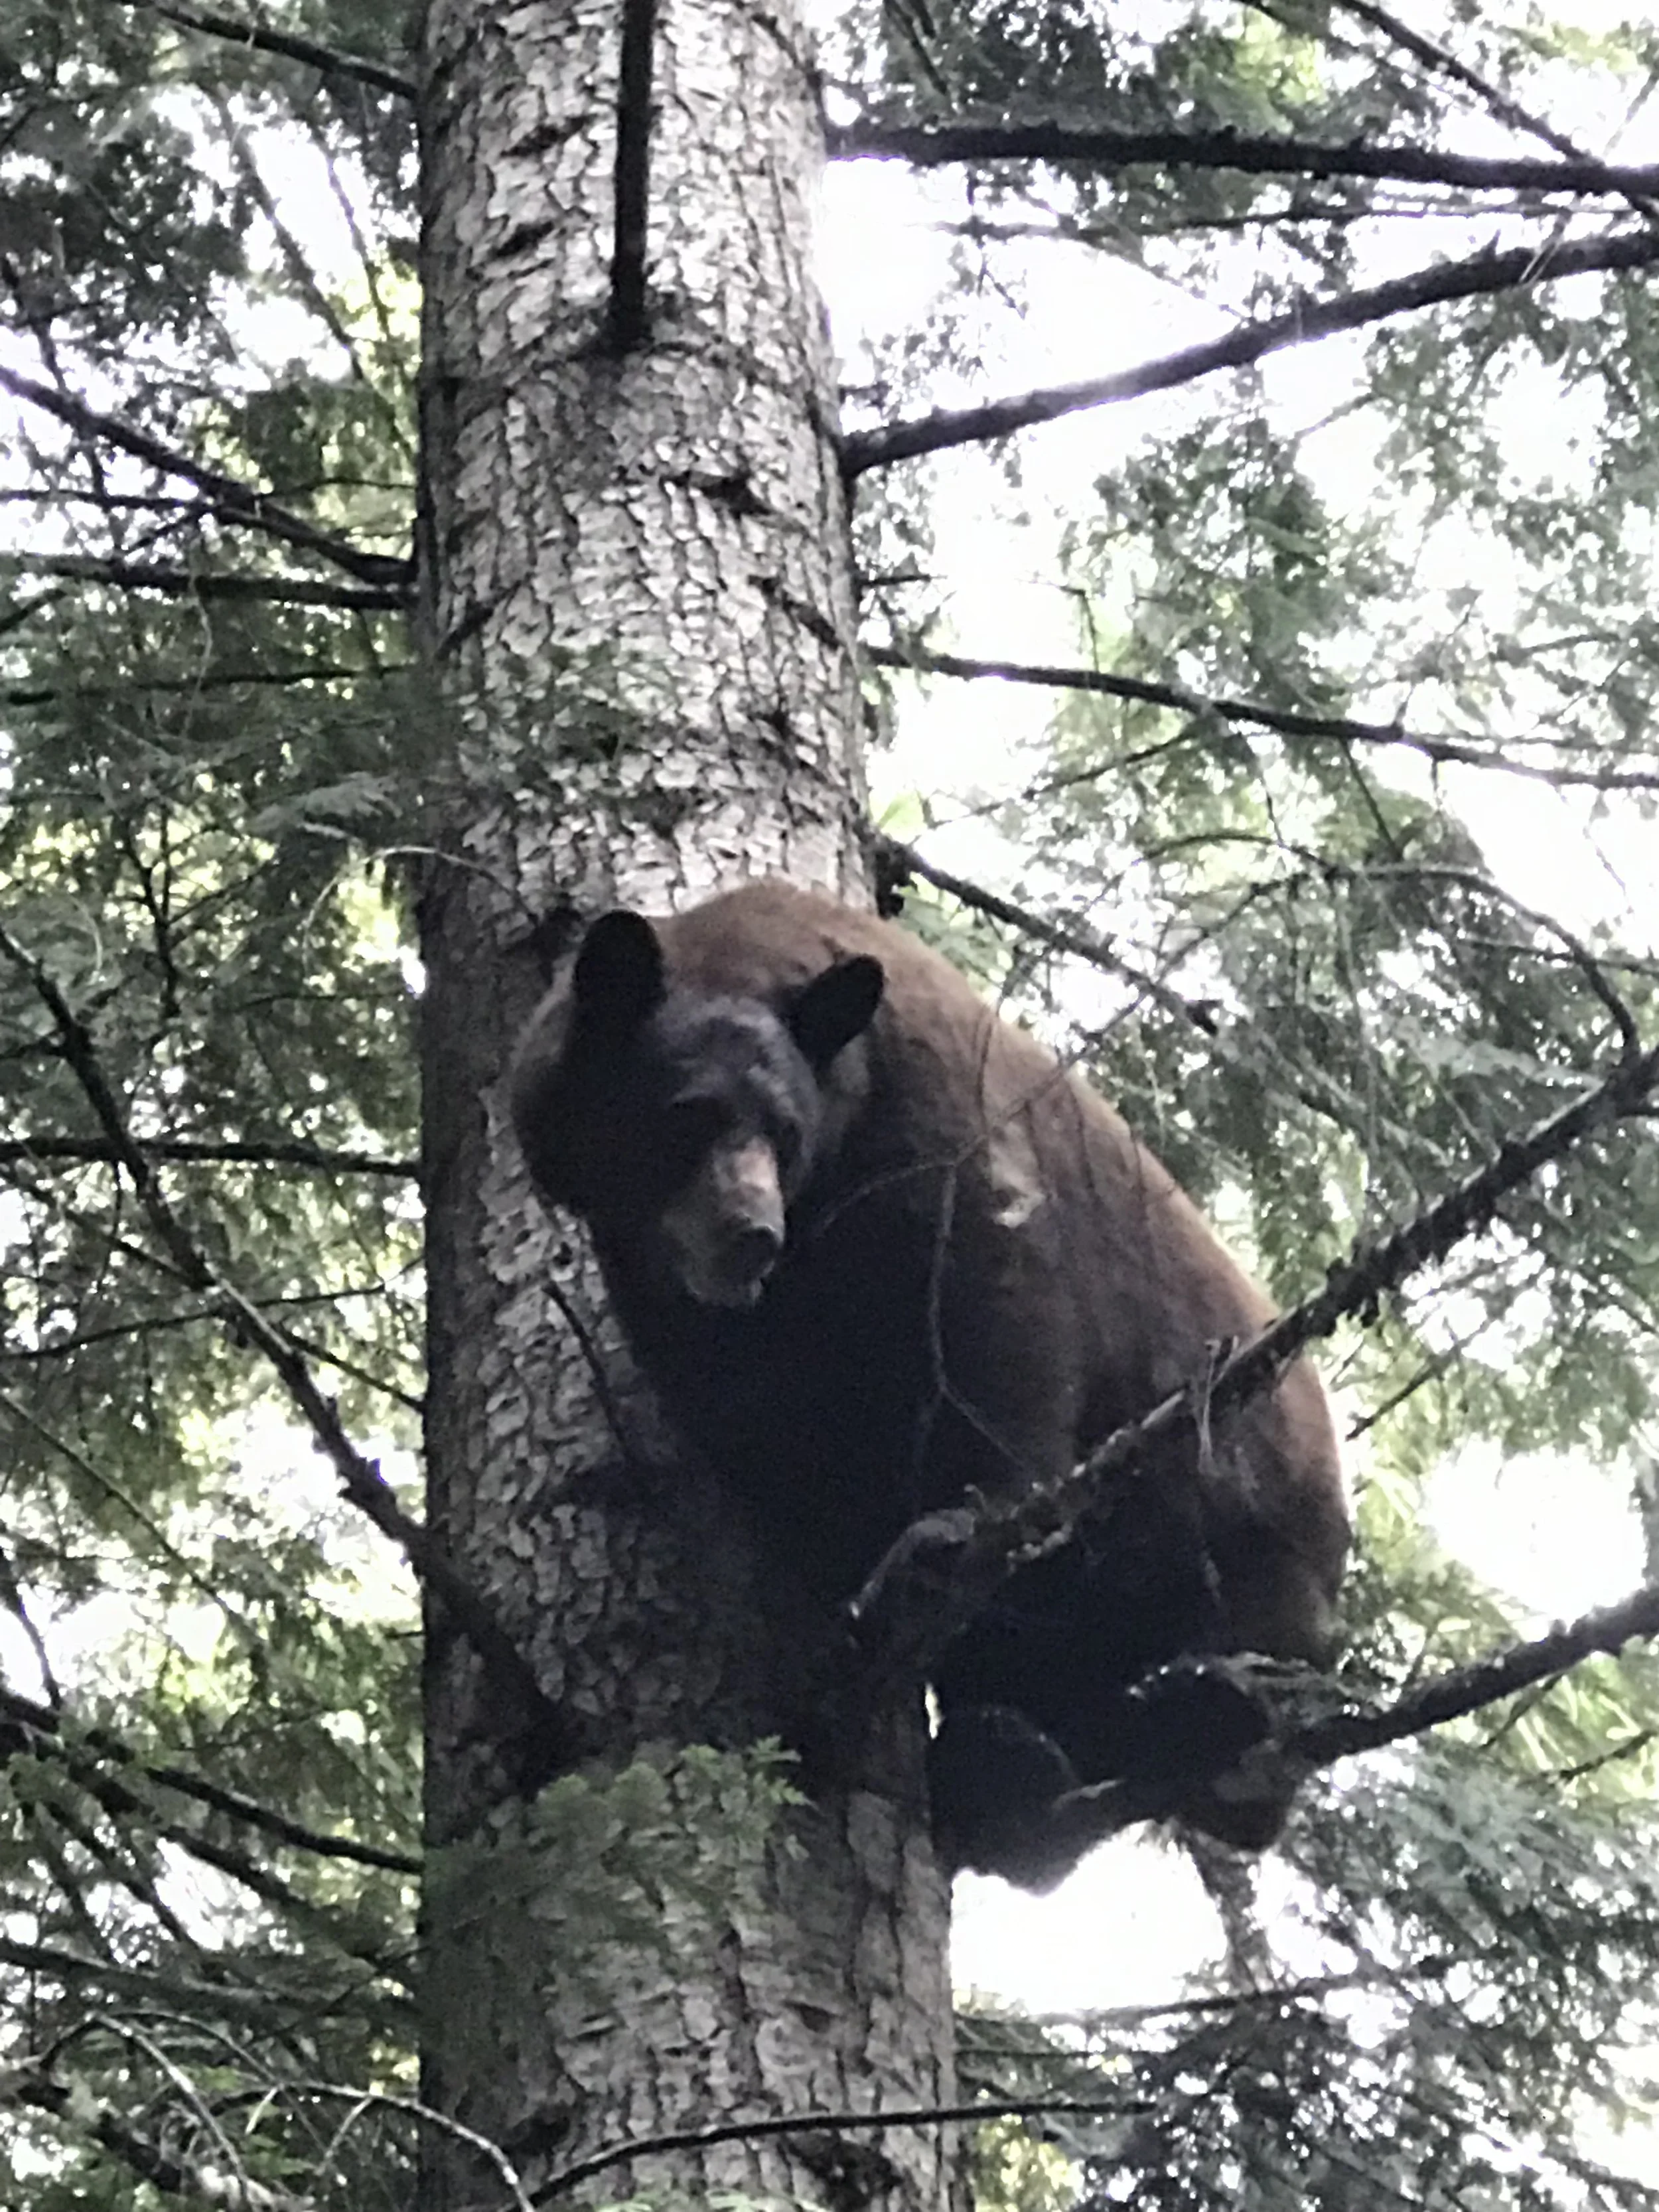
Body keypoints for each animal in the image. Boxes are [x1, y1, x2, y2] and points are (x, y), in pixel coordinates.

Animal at [510, 878, 1350, 1888]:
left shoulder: (934, 1131)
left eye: (782, 1131)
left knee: (1247, 1653)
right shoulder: (668, 1287)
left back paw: (1203, 1716)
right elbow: (756, 1424)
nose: (751, 1232)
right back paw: (1012, 1769)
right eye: (686, 1116)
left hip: (1248, 1499)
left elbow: (995, 1319)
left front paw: (946, 1531)